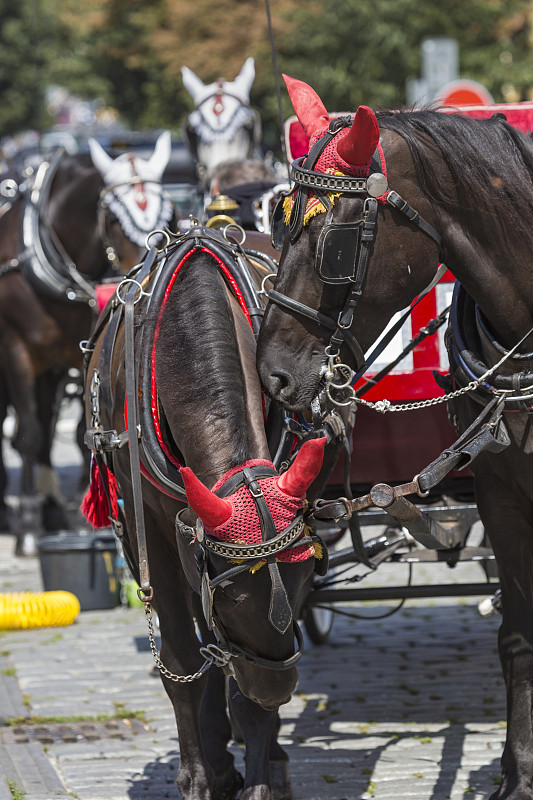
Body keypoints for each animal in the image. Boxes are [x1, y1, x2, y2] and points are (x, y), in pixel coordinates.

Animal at [0, 131, 172, 552]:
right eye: (112, 218)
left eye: (167, 213)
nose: (143, 276)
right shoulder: (16, 353)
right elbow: (28, 433)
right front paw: (28, 529)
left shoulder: (70, 358)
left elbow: (77, 429)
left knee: (48, 422)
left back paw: (49, 506)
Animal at [81, 227, 326, 800]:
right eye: (233, 598)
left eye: (307, 579)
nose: (277, 689)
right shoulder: (155, 531)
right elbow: (182, 661)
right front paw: (199, 778)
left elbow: (235, 679)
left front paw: (260, 776)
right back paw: (215, 756)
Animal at [258, 73, 533, 800]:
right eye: (276, 219)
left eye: (337, 242)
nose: (272, 373)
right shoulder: (502, 492)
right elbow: (519, 635)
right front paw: (517, 776)